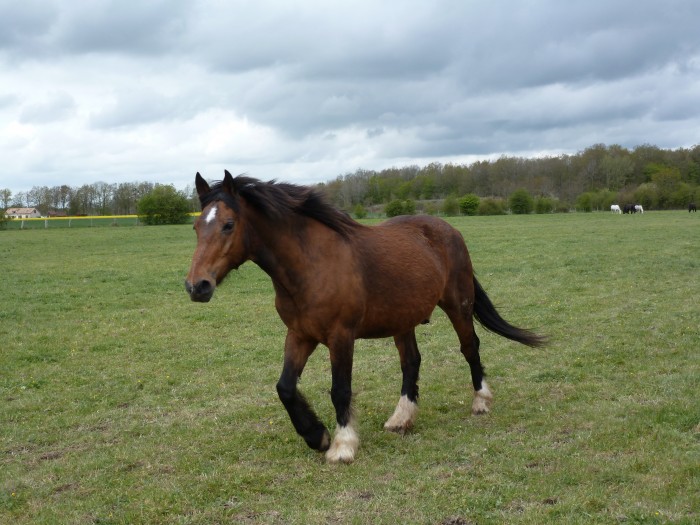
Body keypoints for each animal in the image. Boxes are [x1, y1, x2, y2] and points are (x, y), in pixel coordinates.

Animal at [186, 171, 548, 462]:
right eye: (196, 226)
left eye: (228, 225)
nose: (196, 286)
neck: (311, 264)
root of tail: (448, 228)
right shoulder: (300, 334)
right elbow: (285, 388)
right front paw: (316, 435)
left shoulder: (340, 337)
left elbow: (340, 390)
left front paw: (343, 445)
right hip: (403, 320)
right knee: (411, 362)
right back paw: (402, 418)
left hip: (458, 304)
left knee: (470, 347)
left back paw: (481, 401)